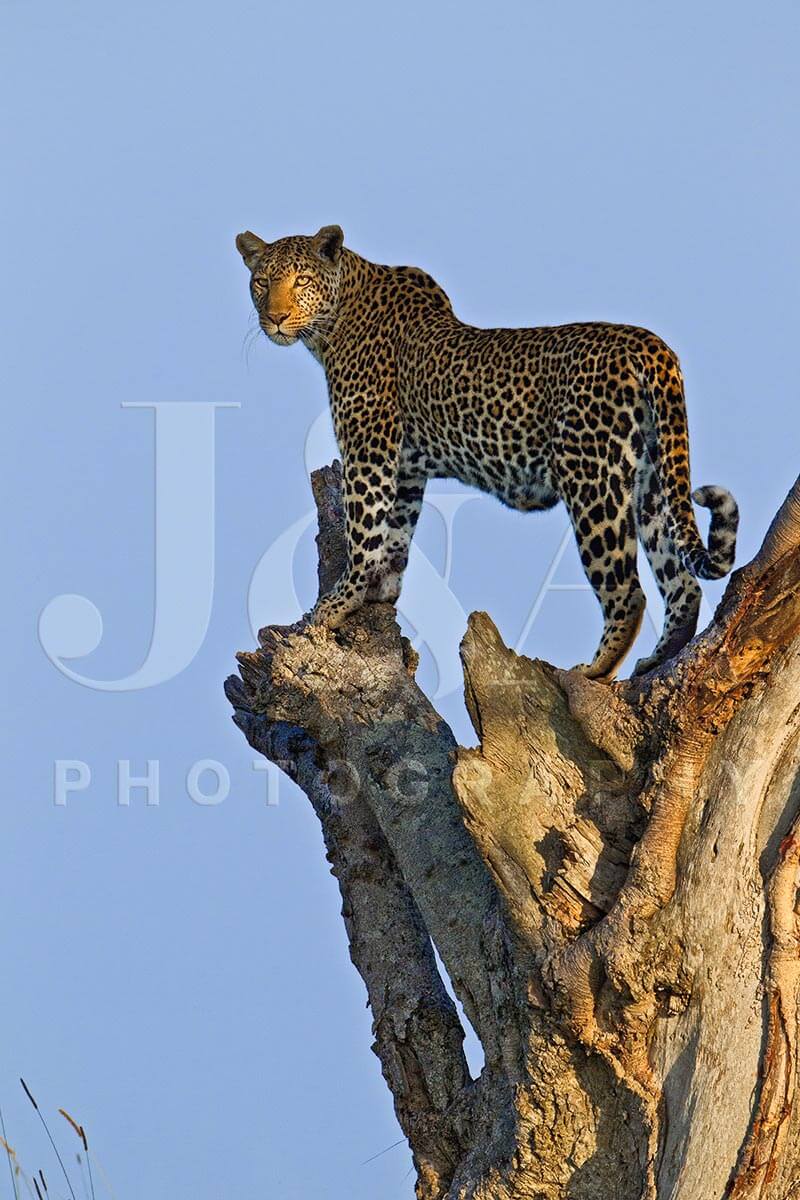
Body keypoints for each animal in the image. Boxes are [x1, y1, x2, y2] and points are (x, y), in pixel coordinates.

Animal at [236, 224, 739, 679]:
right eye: (261, 282)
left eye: (301, 280)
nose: (275, 317)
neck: (333, 320)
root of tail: (649, 344)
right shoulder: (406, 469)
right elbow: (396, 533)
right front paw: (382, 591)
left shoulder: (369, 447)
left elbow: (362, 530)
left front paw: (336, 604)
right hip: (652, 478)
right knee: (682, 581)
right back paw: (660, 655)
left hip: (591, 475)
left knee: (627, 589)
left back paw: (594, 670)